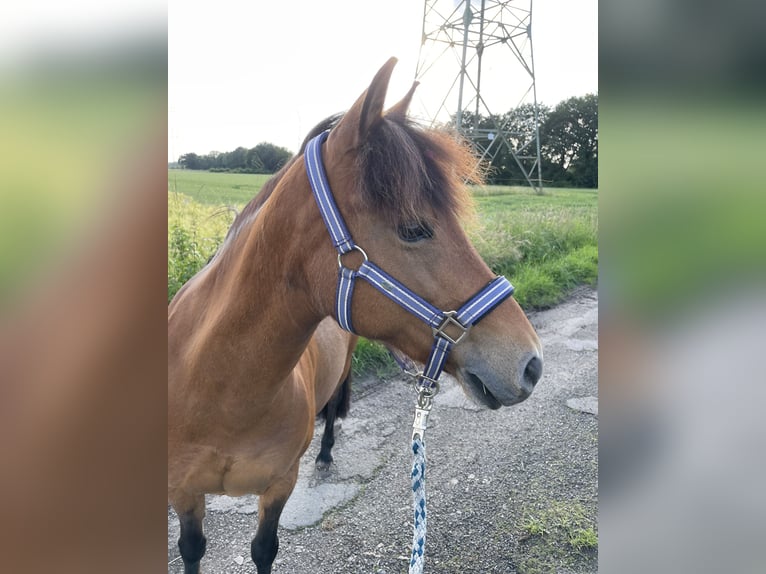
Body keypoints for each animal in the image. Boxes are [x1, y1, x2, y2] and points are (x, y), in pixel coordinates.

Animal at [168, 57, 543, 574]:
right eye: (414, 228)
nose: (531, 364)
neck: (219, 388)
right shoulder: (184, 493)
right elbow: (191, 550)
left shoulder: (279, 486)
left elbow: (264, 549)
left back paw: (326, 453)